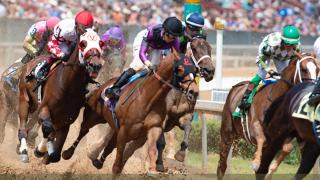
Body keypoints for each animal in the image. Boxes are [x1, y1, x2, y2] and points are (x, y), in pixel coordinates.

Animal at [16, 28, 104, 164]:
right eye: (83, 43)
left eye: (100, 43)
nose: (95, 65)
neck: (68, 87)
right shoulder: (44, 108)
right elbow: (47, 128)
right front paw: (40, 150)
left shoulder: (66, 121)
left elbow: (55, 155)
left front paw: (43, 152)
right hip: (24, 100)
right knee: (23, 128)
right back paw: (24, 151)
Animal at [61, 47, 199, 173]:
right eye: (180, 69)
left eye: (195, 70)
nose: (194, 91)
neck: (148, 98)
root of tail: (104, 85)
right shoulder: (125, 131)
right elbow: (118, 161)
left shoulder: (152, 128)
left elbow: (152, 147)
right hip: (93, 115)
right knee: (84, 130)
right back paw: (69, 153)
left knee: (109, 142)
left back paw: (97, 160)